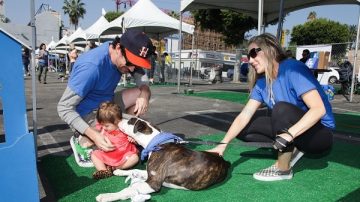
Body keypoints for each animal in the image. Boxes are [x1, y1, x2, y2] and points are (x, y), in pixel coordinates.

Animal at [96, 117, 231, 202]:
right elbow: (135, 170)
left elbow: (129, 189)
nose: (118, 120)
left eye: (130, 121)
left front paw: (107, 196)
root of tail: (225, 162)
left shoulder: (153, 183)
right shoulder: (151, 173)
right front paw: (120, 171)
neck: (156, 144)